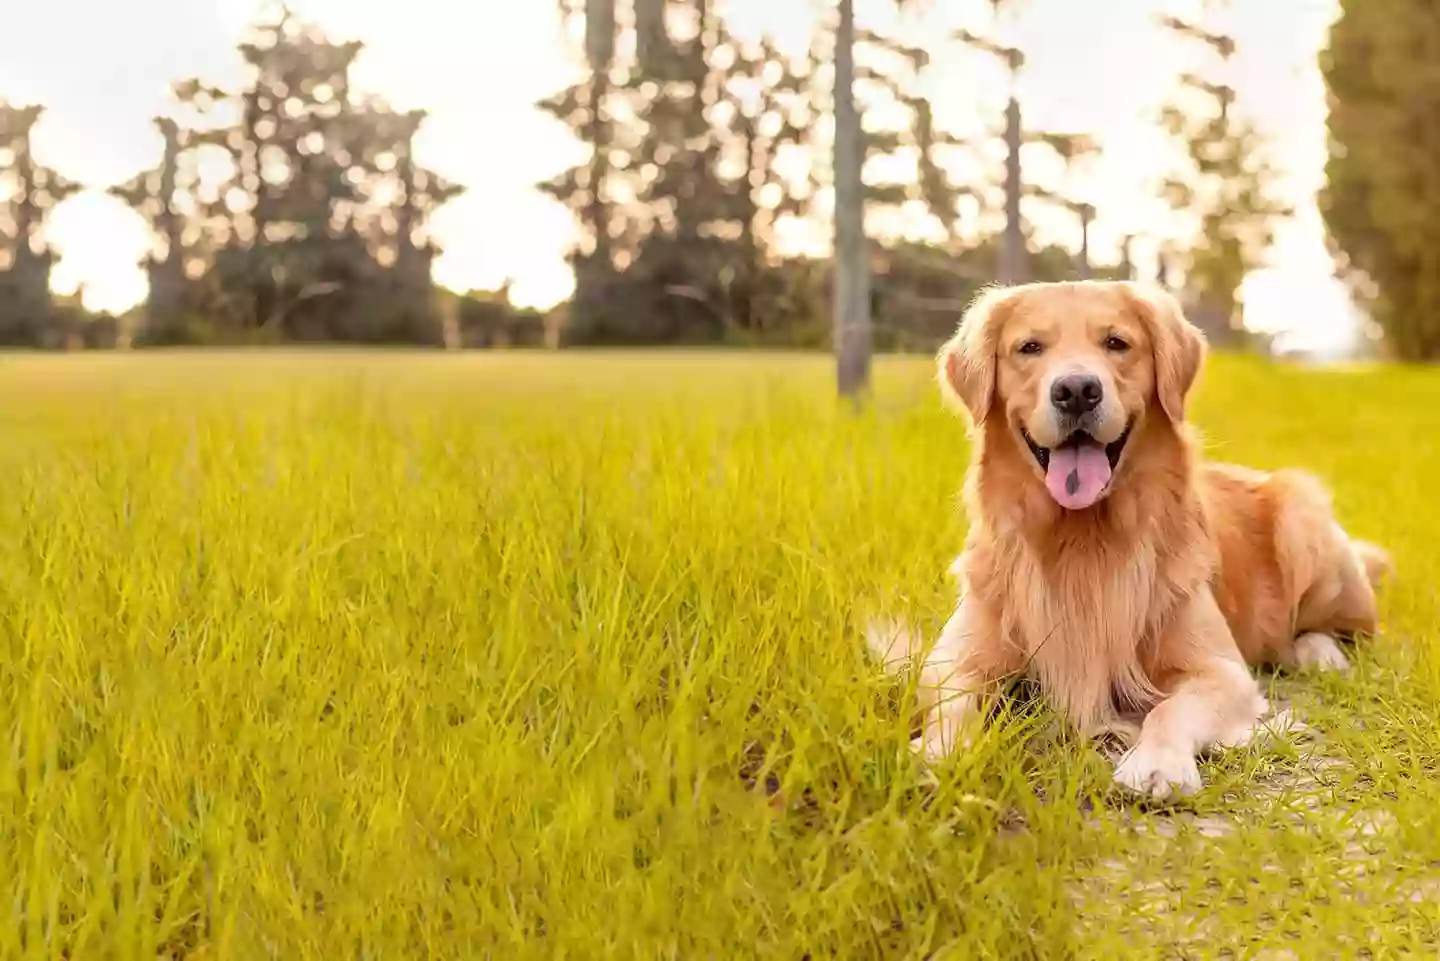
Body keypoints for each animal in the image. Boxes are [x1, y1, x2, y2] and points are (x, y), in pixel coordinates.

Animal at [869, 282, 1388, 801]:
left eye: (1116, 343)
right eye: (1030, 347)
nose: (1077, 391)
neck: (1082, 539)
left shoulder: (1221, 670)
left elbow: (1168, 708)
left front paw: (1157, 763)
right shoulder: (954, 658)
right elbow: (954, 704)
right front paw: (936, 753)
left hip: (1301, 516)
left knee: (1345, 630)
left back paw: (1320, 654)